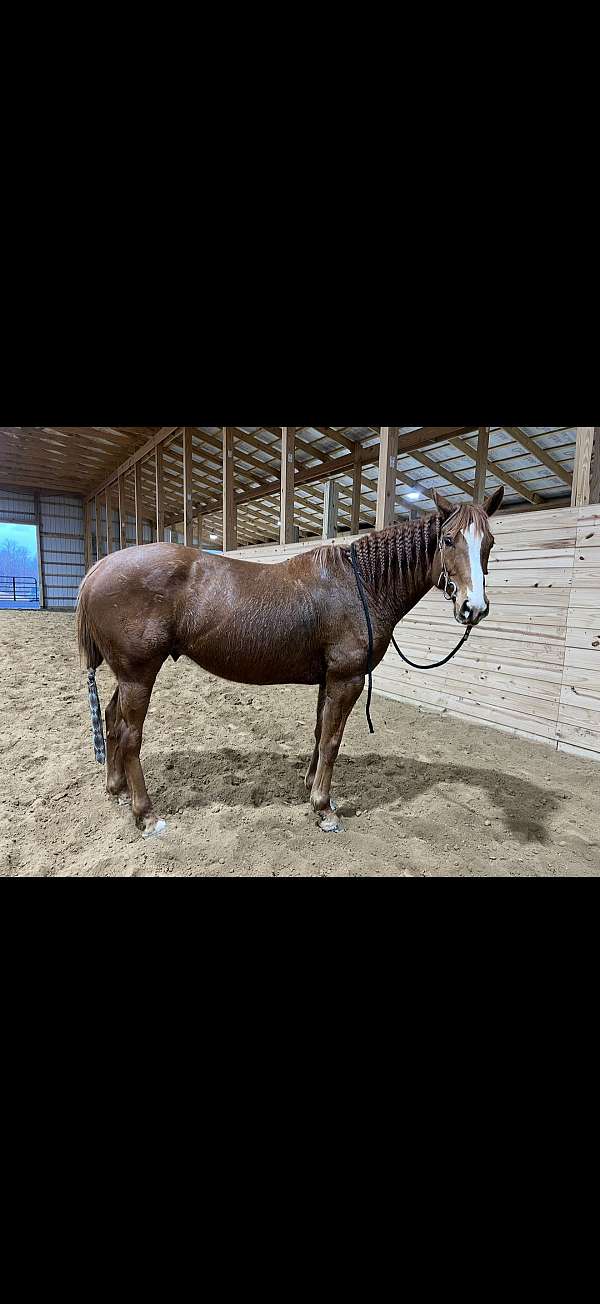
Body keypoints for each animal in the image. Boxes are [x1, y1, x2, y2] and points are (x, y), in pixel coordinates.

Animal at [77, 487, 504, 836]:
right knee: (130, 737)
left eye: (489, 542)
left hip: (128, 675)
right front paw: (325, 809)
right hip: (139, 674)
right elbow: (332, 740)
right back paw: (147, 815)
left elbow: (318, 733)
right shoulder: (347, 679)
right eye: (447, 539)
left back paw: (117, 791)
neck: (361, 585)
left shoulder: (328, 679)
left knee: (112, 722)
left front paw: (310, 787)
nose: (474, 608)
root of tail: (98, 568)